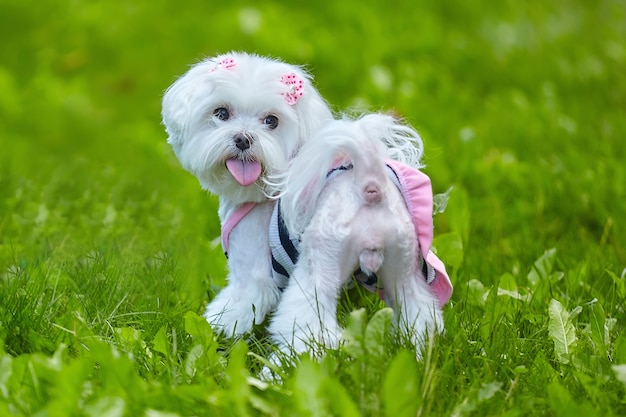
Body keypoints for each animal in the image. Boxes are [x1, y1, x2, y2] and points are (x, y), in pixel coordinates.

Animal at [163, 52, 334, 336]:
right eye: (221, 113)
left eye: (271, 121)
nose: (243, 139)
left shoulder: (251, 263)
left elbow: (238, 305)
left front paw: (215, 329)